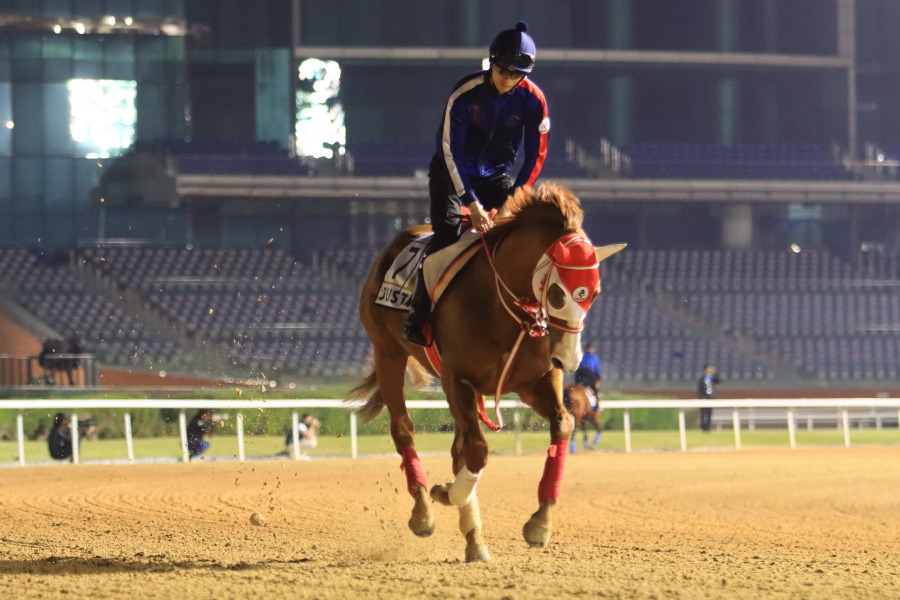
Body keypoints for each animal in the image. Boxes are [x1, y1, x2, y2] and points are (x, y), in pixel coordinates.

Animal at [348, 183, 624, 564]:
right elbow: (477, 450)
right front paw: (447, 494)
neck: (500, 306)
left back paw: (473, 537)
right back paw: (424, 512)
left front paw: (539, 523)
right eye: (558, 293)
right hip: (388, 352)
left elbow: (563, 425)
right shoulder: (457, 380)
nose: (569, 360)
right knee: (404, 430)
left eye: (593, 294)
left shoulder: (535, 382)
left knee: (457, 448)